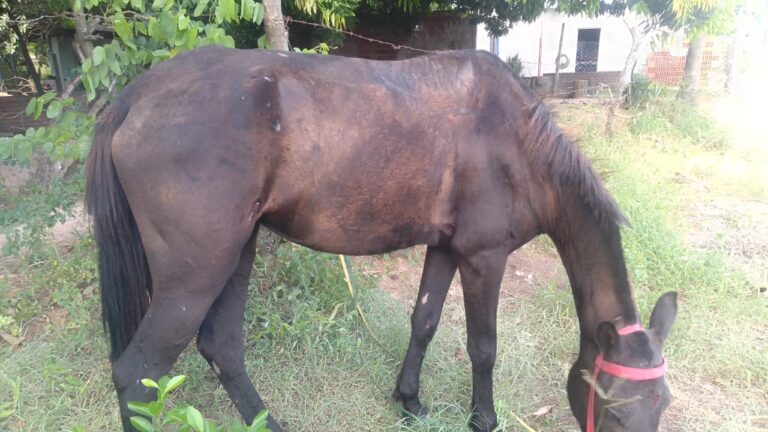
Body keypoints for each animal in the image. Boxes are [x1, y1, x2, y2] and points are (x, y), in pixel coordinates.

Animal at [85, 46, 677, 432]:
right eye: (617, 411)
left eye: (664, 404)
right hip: (195, 277)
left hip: (236, 255)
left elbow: (424, 322)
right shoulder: (484, 258)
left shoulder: (446, 248)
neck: (516, 137)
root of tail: (136, 97)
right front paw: (482, 418)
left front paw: (409, 401)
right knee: (137, 373)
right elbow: (483, 347)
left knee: (222, 348)